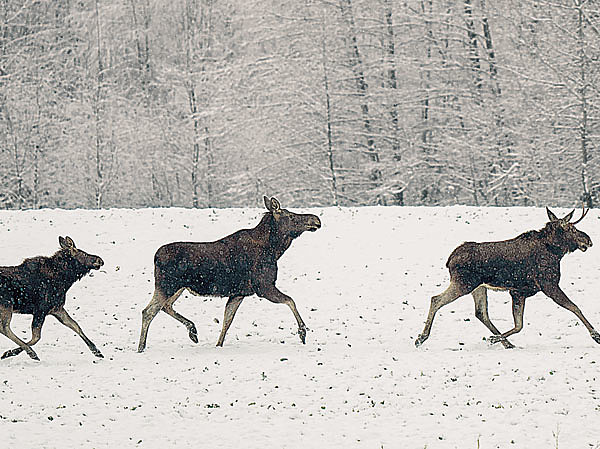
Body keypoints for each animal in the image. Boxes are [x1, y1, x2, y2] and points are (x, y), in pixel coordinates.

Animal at [138, 194, 322, 352]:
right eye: (291, 216)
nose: (316, 220)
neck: (275, 249)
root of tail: (155, 256)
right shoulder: (263, 286)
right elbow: (290, 300)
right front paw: (302, 332)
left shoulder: (238, 293)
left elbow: (227, 321)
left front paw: (218, 345)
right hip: (167, 285)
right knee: (149, 311)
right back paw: (141, 347)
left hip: (178, 287)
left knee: (165, 306)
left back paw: (193, 331)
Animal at [414, 205, 596, 348]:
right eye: (571, 229)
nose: (588, 240)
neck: (557, 252)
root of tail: (449, 259)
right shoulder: (548, 284)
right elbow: (574, 307)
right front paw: (596, 335)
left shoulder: (518, 291)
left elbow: (519, 325)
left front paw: (494, 339)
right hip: (464, 283)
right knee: (436, 299)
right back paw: (421, 338)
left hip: (478, 287)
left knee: (481, 313)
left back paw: (506, 343)